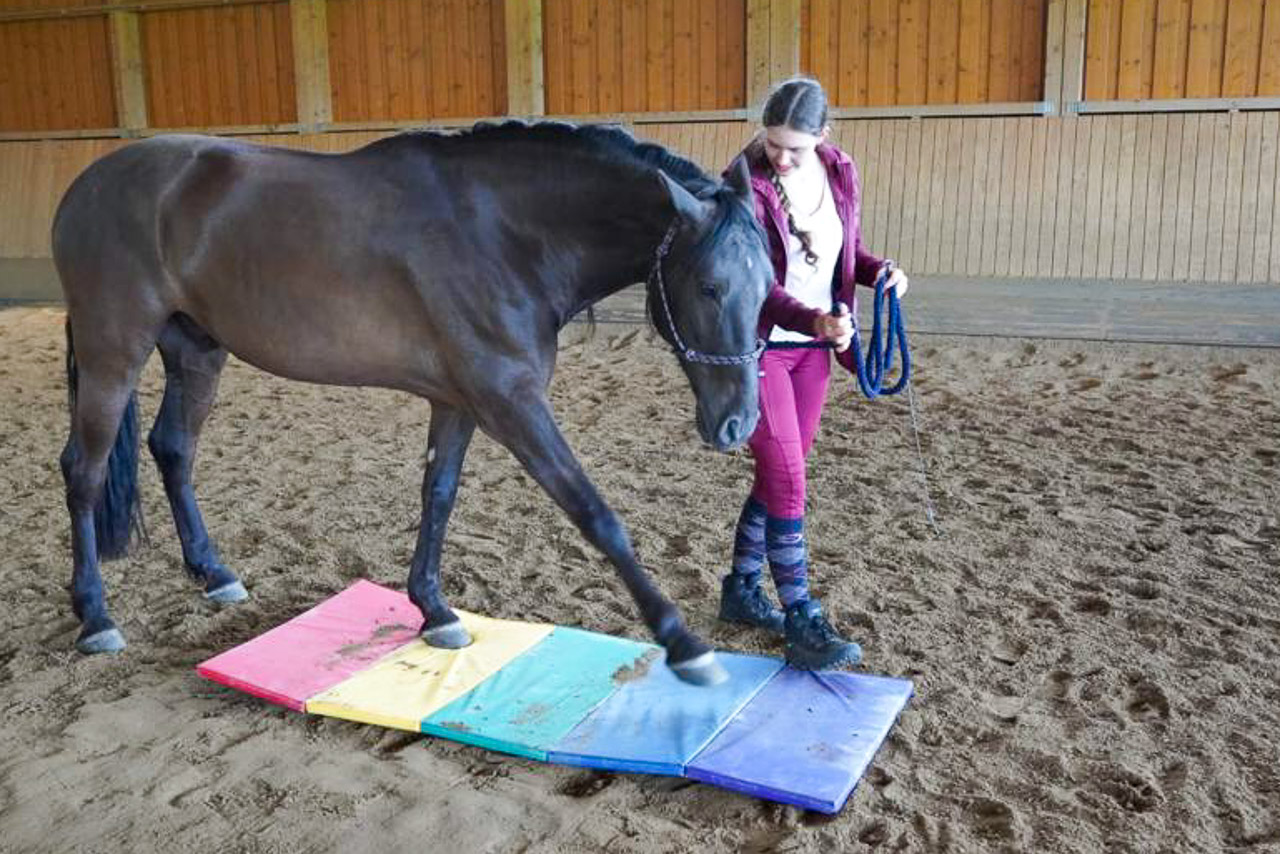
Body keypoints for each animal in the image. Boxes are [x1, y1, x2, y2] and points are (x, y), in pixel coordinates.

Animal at [51, 121, 771, 686]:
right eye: (709, 287)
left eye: (767, 285)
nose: (737, 424)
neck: (502, 234)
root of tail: (87, 186)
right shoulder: (510, 401)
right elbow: (595, 513)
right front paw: (682, 641)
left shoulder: (459, 402)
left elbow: (439, 496)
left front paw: (435, 611)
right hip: (113, 352)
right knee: (83, 471)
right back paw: (96, 616)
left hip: (197, 352)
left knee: (173, 449)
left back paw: (213, 572)